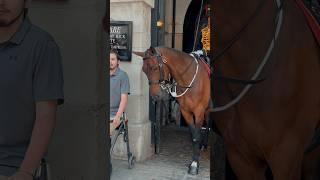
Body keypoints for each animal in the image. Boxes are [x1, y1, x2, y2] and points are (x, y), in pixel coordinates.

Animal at [134, 46, 211, 174]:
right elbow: (194, 136)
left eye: (154, 67)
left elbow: (197, 135)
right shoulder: (186, 112)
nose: (155, 97)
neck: (188, 78)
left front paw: (195, 164)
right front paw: (194, 160)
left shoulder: (199, 111)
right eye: (144, 70)